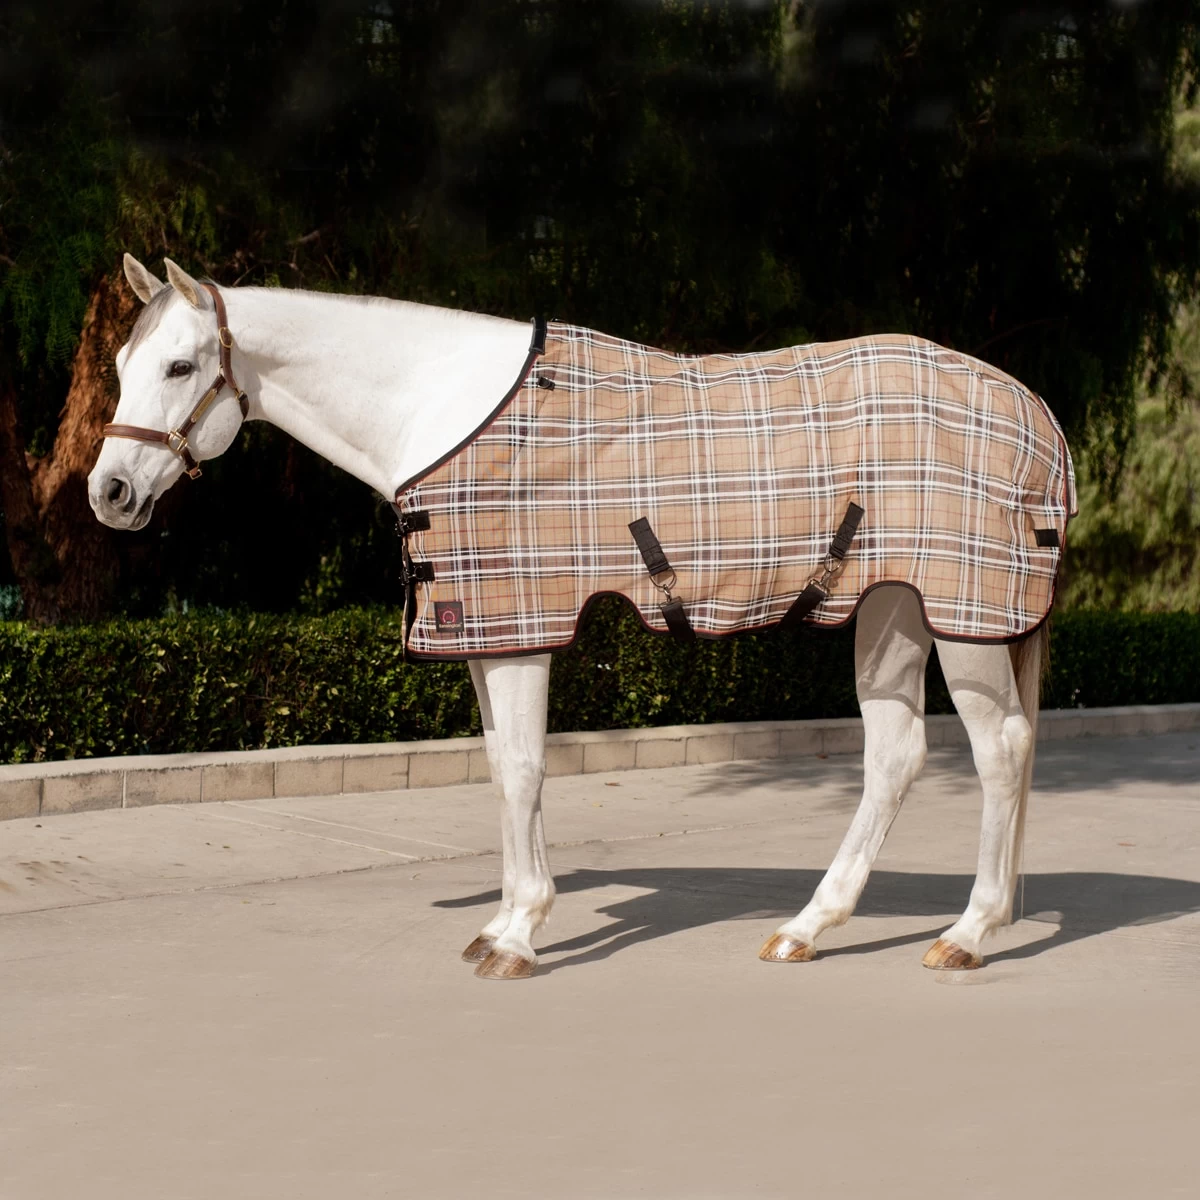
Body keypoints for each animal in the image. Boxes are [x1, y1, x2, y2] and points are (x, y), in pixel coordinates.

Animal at [89, 253, 1071, 980]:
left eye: (180, 366)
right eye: (124, 366)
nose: (110, 493)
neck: (448, 410)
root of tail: (1037, 414)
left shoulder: (523, 628)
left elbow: (524, 771)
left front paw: (521, 937)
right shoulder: (482, 629)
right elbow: (499, 770)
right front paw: (500, 922)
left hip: (964, 617)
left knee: (1000, 750)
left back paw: (969, 933)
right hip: (892, 610)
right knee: (895, 756)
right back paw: (807, 927)